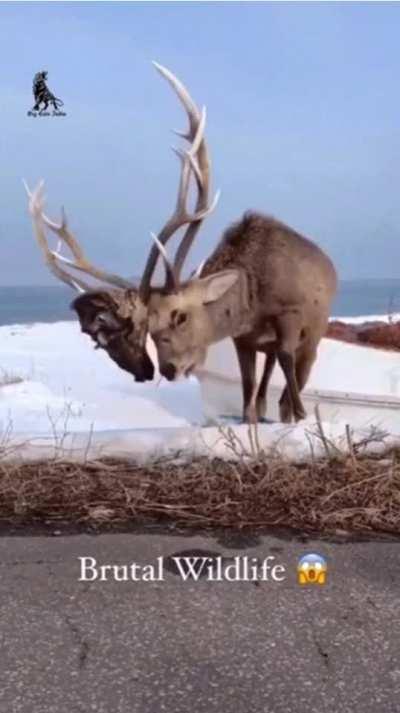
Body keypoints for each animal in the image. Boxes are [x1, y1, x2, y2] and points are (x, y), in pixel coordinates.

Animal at [25, 62, 337, 424]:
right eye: (148, 326)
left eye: (181, 317)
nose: (169, 369)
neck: (254, 300)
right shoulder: (244, 338)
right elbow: (248, 389)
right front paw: (253, 416)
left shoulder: (292, 315)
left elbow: (289, 364)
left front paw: (298, 412)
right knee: (268, 375)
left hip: (317, 325)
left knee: (295, 364)